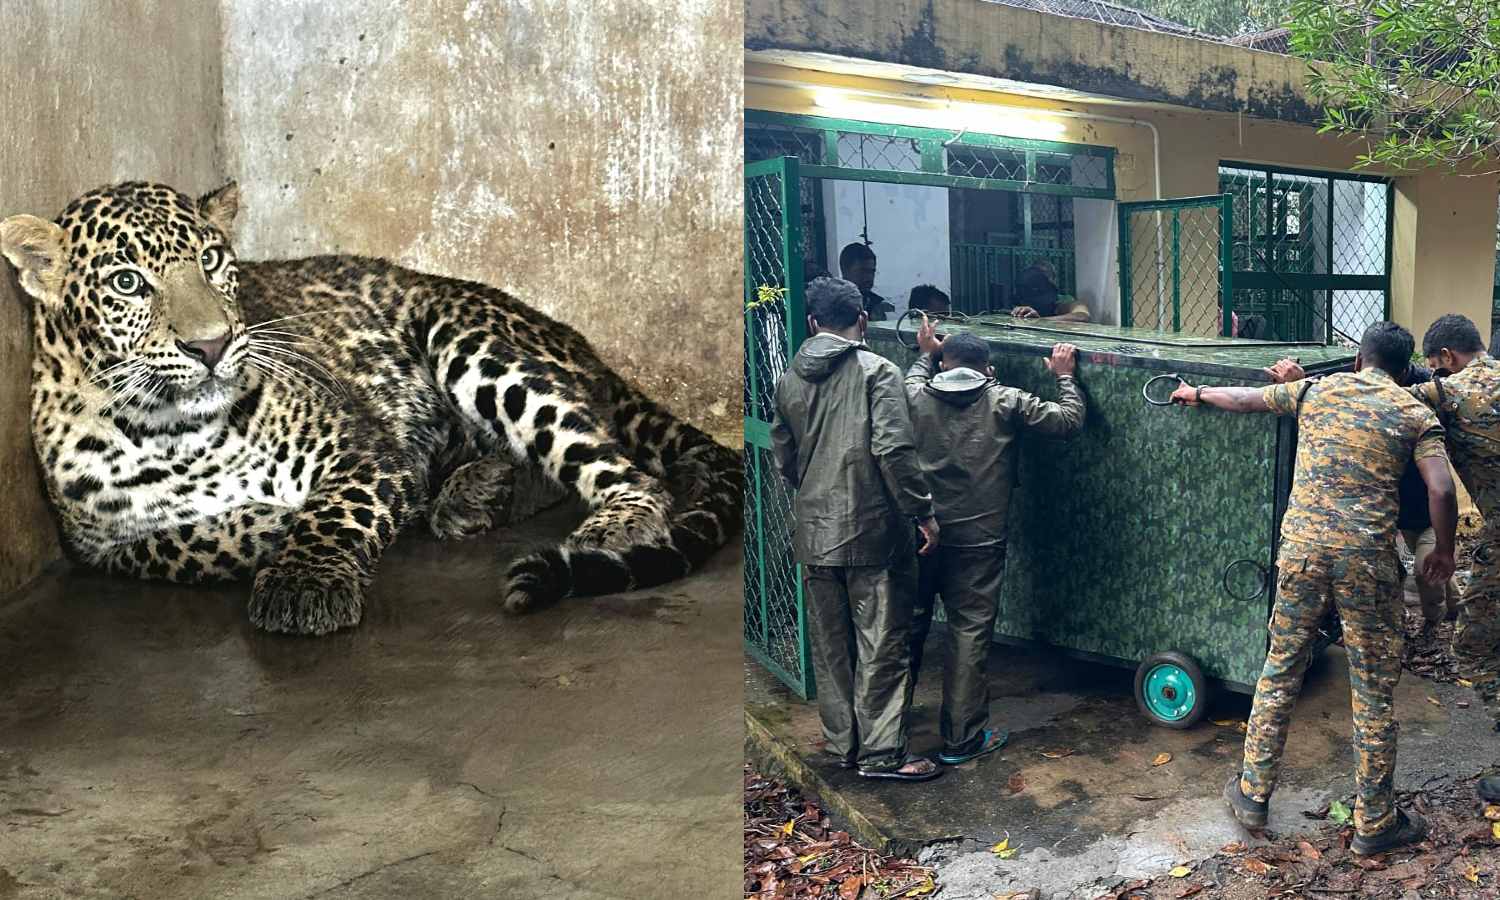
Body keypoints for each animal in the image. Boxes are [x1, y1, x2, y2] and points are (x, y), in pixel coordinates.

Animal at [0, 180, 740, 635]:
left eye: (212, 261)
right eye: (128, 283)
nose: (212, 344)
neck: (174, 430)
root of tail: (579, 340)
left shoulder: (365, 447)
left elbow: (332, 512)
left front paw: (302, 581)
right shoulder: (96, 544)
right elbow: (186, 544)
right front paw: (267, 528)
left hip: (463, 335)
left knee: (623, 470)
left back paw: (601, 525)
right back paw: (477, 493)